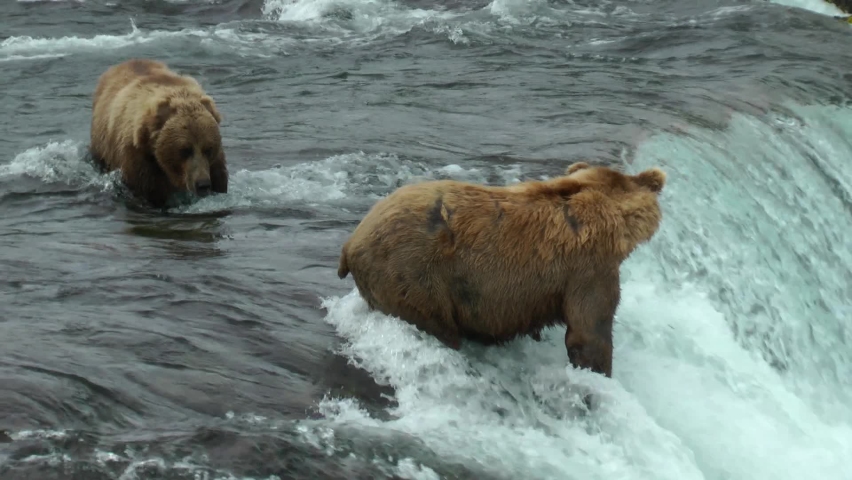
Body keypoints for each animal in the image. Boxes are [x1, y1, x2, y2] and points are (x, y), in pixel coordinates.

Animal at [89, 58, 228, 208]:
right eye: (185, 150)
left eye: (208, 149)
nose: (203, 184)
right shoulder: (139, 158)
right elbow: (147, 190)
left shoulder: (214, 163)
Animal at [337, 161, 667, 379]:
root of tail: (351, 242)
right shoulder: (589, 271)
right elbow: (589, 332)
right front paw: (597, 371)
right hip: (414, 275)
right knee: (437, 324)